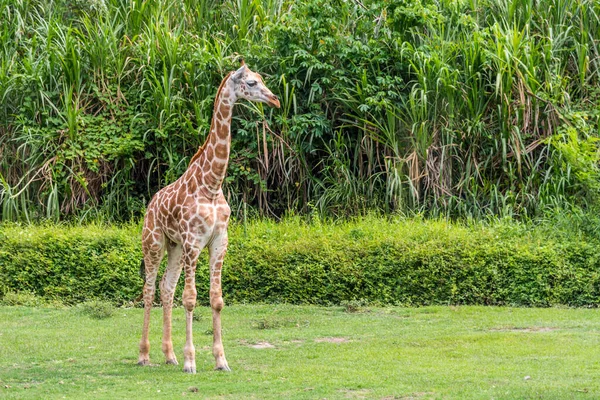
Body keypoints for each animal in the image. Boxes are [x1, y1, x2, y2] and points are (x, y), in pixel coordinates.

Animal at [139, 61, 282, 374]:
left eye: (261, 79)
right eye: (251, 83)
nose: (275, 99)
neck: (212, 184)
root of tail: (150, 205)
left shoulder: (219, 241)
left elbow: (216, 300)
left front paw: (221, 360)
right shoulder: (194, 242)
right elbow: (191, 299)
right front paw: (191, 361)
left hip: (175, 247)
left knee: (166, 289)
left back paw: (169, 355)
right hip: (153, 243)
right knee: (149, 290)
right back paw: (144, 355)